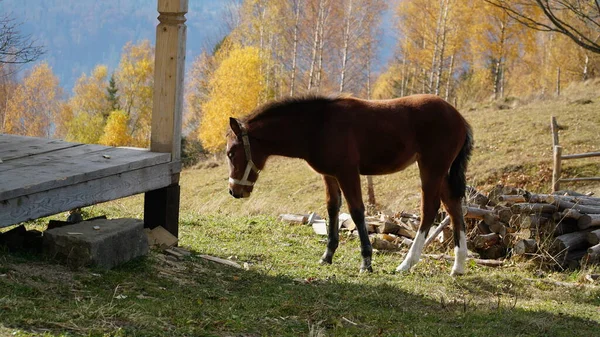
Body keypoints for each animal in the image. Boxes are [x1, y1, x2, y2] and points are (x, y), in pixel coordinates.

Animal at [226, 93, 474, 274]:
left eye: (230, 153)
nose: (234, 191)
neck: (319, 126)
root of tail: (459, 118)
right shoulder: (330, 175)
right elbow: (332, 208)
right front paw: (327, 256)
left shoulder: (347, 172)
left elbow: (356, 210)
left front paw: (366, 261)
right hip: (441, 172)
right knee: (453, 206)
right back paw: (458, 266)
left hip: (432, 168)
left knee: (430, 209)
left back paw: (407, 263)